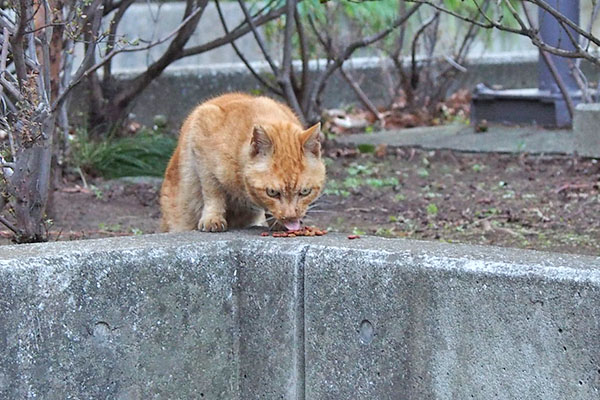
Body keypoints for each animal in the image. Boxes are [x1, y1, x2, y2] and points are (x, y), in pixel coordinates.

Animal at [159, 92, 326, 233]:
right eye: (272, 192)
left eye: (305, 192)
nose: (291, 218)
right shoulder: (201, 138)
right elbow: (213, 192)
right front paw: (212, 218)